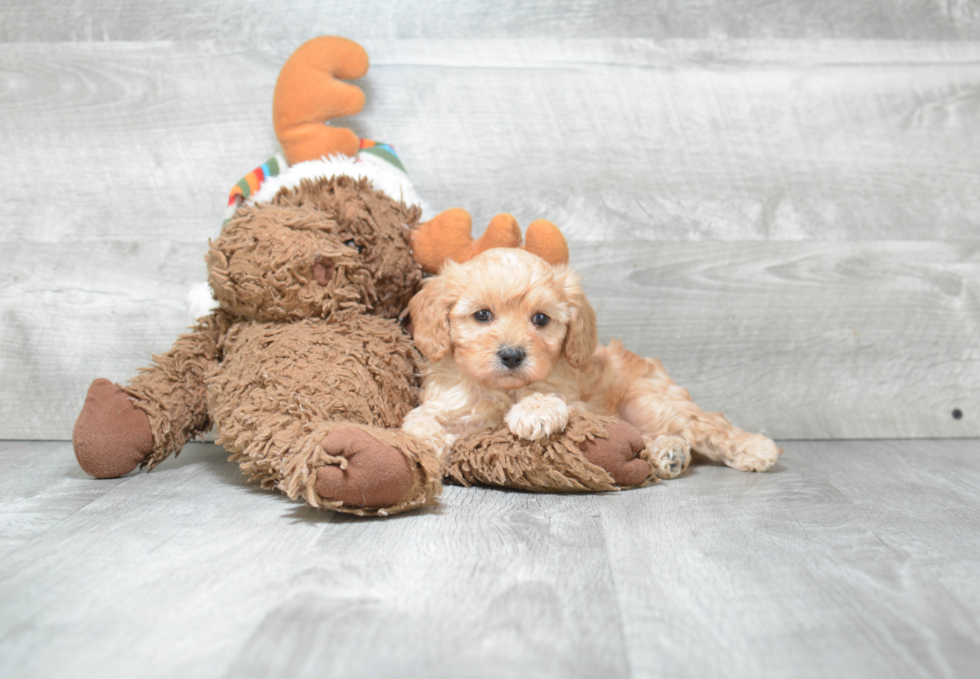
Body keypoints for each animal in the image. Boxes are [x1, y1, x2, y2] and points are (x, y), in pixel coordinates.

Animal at [400, 248, 780, 478]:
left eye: (540, 319)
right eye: (482, 315)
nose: (511, 355)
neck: (501, 390)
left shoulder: (578, 404)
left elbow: (548, 397)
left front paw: (534, 411)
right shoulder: (448, 404)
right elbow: (420, 421)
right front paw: (426, 446)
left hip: (647, 400)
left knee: (708, 424)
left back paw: (754, 448)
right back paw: (669, 454)